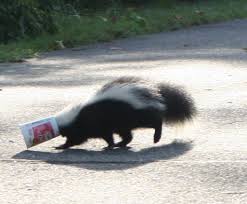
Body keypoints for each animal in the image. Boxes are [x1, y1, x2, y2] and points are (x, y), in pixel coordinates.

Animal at [54, 76, 197, 150]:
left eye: (62, 130)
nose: (61, 137)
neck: (77, 114)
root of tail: (155, 91)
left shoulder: (94, 122)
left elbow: (104, 136)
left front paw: (109, 146)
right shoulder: (83, 128)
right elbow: (78, 139)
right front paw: (63, 145)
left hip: (137, 114)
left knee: (156, 121)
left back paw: (156, 137)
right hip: (123, 124)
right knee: (128, 135)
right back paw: (121, 144)